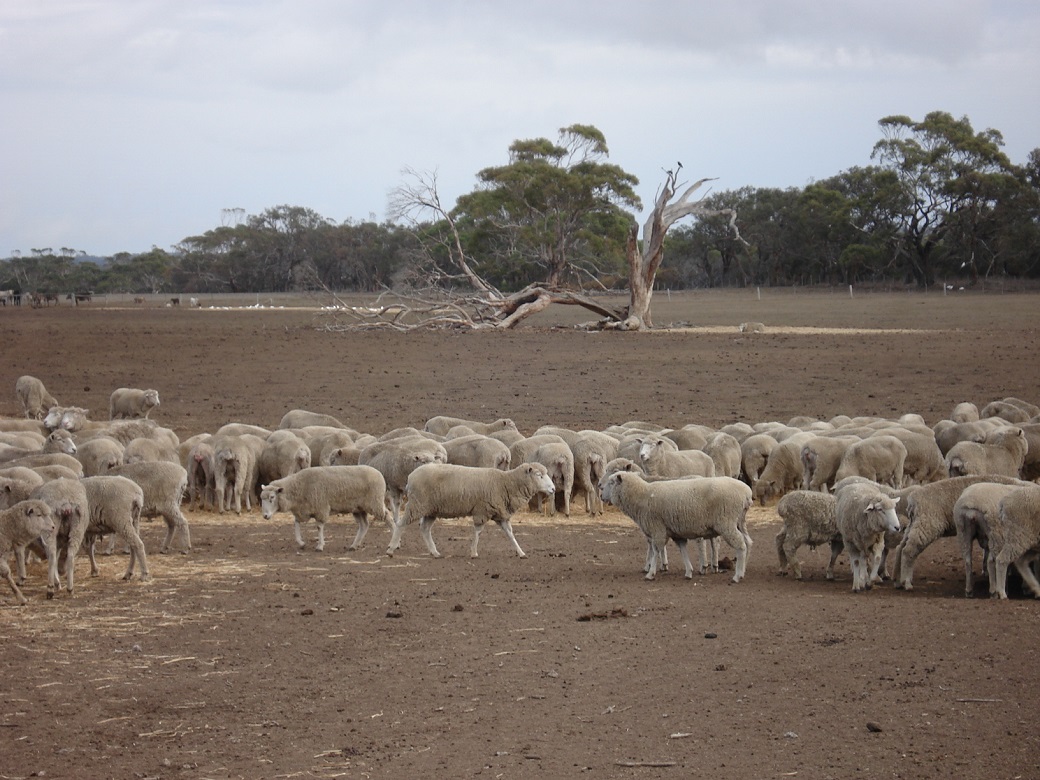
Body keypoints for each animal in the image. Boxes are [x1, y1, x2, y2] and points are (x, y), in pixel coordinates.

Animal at [260, 467, 391, 553]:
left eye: (272, 497)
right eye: (262, 498)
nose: (265, 516)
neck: (299, 486)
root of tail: (379, 473)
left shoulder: (320, 508)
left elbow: (319, 527)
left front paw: (319, 546)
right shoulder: (303, 510)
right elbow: (296, 524)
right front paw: (301, 543)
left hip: (375, 503)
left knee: (388, 517)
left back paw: (392, 545)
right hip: (358, 508)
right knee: (364, 525)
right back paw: (354, 545)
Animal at [386, 463, 557, 561]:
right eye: (539, 475)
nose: (553, 489)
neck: (506, 483)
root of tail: (411, 477)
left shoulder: (500, 514)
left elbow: (510, 534)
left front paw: (521, 552)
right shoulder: (482, 510)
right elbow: (478, 532)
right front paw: (473, 552)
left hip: (431, 509)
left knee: (425, 529)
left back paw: (435, 552)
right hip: (417, 504)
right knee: (400, 524)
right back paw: (391, 549)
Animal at [599, 470, 752, 586]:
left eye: (611, 483)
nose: (600, 495)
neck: (642, 495)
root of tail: (747, 492)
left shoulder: (657, 529)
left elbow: (656, 551)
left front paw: (650, 573)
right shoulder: (676, 533)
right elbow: (683, 551)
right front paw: (688, 572)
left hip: (727, 522)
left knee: (741, 545)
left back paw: (737, 575)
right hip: (739, 521)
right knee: (748, 542)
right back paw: (744, 569)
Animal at [890, 474, 1027, 590]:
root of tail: (913, 499)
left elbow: (986, 553)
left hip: (915, 524)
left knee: (900, 548)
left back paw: (897, 580)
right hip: (927, 525)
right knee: (908, 551)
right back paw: (906, 582)